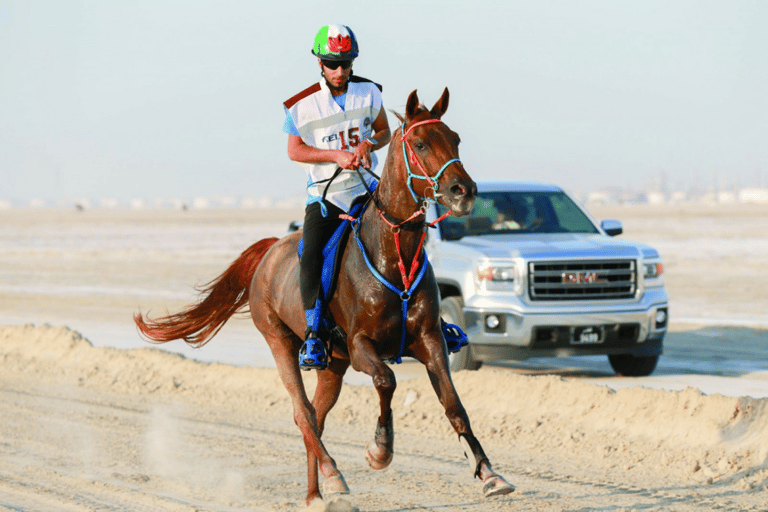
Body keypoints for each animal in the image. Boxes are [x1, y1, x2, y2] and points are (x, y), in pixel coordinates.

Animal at [134, 88, 515, 506]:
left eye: (455, 139)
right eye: (419, 143)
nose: (463, 191)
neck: (392, 252)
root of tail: (269, 252)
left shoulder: (430, 340)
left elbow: (454, 405)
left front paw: (488, 473)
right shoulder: (362, 345)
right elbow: (386, 381)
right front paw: (380, 449)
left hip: (333, 364)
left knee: (315, 417)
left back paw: (317, 493)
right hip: (282, 342)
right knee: (303, 413)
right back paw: (334, 477)